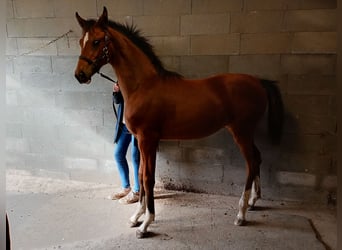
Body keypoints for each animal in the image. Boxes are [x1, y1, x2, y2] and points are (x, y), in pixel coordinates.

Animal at [74, 7, 284, 238]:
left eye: (96, 41)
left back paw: (241, 214)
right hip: (246, 132)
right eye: (80, 41)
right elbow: (141, 174)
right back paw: (254, 202)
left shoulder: (148, 140)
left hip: (241, 132)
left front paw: (146, 224)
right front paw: (136, 217)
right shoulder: (141, 140)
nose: (80, 75)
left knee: (251, 163)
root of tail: (259, 82)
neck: (144, 85)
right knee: (258, 158)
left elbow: (148, 178)